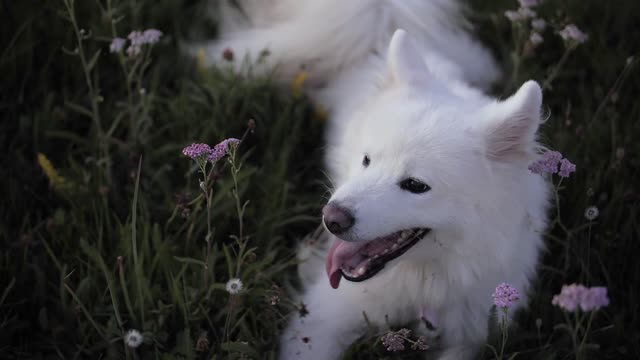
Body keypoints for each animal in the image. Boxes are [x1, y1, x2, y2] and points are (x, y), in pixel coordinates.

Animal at [205, 1, 552, 358]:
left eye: (416, 185)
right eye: (367, 160)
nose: (332, 219)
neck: (425, 283)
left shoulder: (469, 337)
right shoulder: (322, 320)